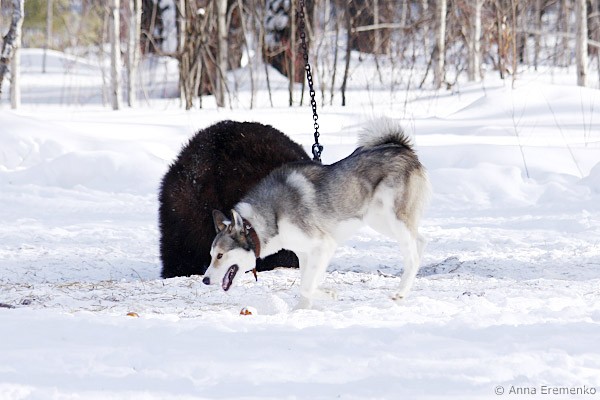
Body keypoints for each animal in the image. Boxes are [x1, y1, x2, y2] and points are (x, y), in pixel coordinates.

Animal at [202, 119, 431, 309]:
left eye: (220, 255)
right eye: (211, 255)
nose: (204, 280)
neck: (272, 216)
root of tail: (402, 148)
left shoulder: (324, 245)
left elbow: (306, 285)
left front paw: (329, 294)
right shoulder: (306, 253)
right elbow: (306, 283)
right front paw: (302, 309)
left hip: (394, 219)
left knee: (411, 255)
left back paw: (401, 292)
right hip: (380, 220)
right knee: (419, 241)